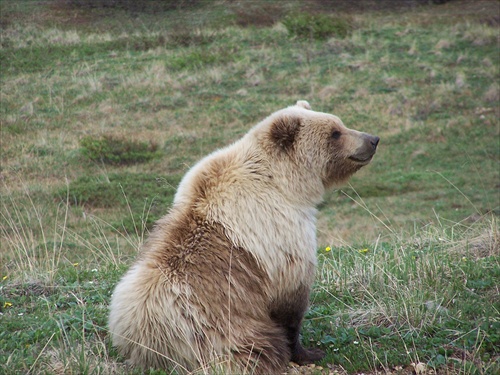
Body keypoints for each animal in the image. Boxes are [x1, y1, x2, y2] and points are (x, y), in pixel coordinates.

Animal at [108, 100, 378, 375]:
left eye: (340, 123)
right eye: (335, 133)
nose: (372, 139)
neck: (285, 183)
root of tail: (151, 346)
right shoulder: (279, 231)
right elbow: (291, 302)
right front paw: (308, 351)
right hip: (221, 335)